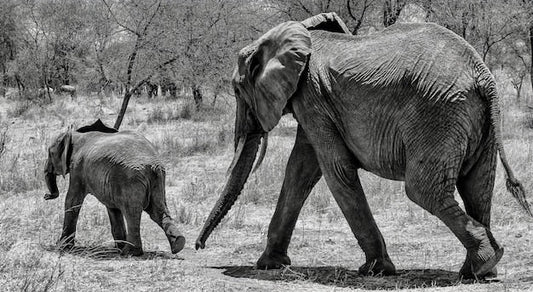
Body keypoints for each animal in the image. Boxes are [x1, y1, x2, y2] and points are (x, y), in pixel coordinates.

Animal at [196, 13, 532, 278]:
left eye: (237, 90)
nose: (198, 246)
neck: (297, 32)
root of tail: (483, 74)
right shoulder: (315, 103)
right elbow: (301, 170)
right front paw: (269, 264)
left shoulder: (313, 96)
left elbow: (334, 170)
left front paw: (376, 270)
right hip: (476, 119)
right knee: (478, 186)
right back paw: (480, 271)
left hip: (439, 112)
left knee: (423, 190)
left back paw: (483, 263)